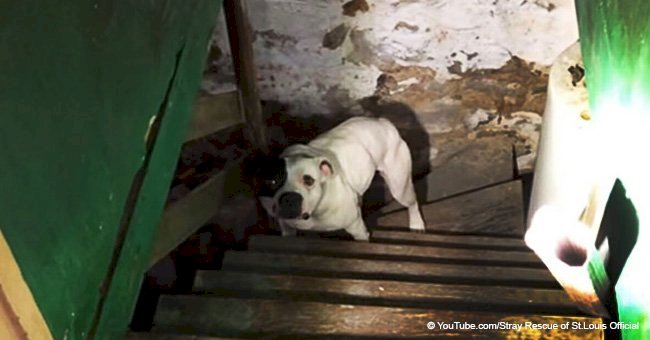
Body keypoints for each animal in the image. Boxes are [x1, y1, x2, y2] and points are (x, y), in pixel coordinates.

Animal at [256, 117, 422, 242]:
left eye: (309, 180)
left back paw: (417, 224)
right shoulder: (287, 228)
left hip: (399, 186)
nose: (289, 198)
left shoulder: (358, 230)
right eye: (271, 182)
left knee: (412, 202)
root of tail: (383, 123)